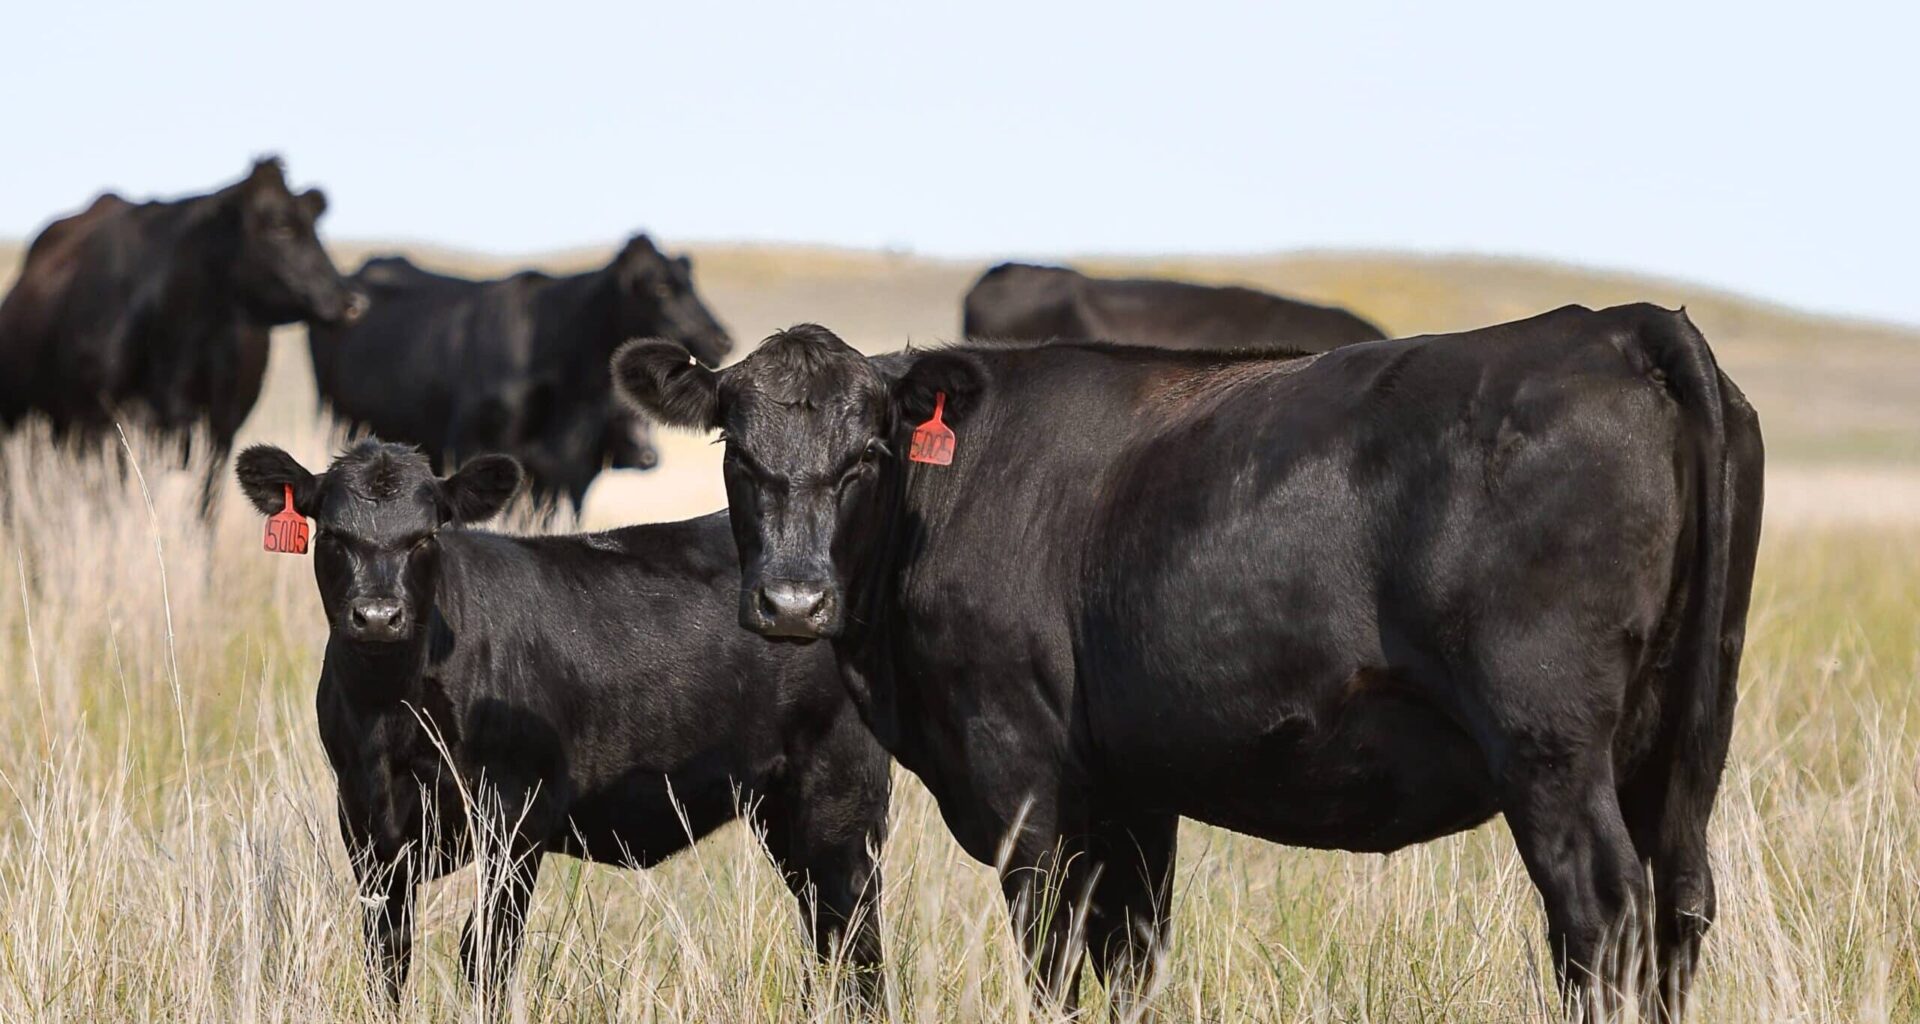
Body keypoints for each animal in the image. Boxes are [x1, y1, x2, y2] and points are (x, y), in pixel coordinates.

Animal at [233, 440, 888, 1012]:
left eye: (425, 536)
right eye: (332, 535)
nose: (376, 616)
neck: (392, 713)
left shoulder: (519, 813)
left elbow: (486, 951)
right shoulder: (365, 819)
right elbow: (387, 952)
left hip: (840, 795)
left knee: (855, 928)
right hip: (781, 812)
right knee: (825, 928)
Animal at [308, 235, 730, 512]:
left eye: (690, 284)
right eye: (660, 289)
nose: (721, 339)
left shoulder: (560, 480)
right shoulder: (472, 446)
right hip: (337, 416)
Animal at [613, 307, 1764, 1021]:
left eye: (868, 455)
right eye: (738, 452)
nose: (793, 601)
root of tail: (1618, 323)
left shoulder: (1023, 776)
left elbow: (1055, 956)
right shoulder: (1133, 791)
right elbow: (1134, 958)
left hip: (1550, 745)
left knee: (1600, 913)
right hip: (1685, 738)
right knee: (1679, 904)